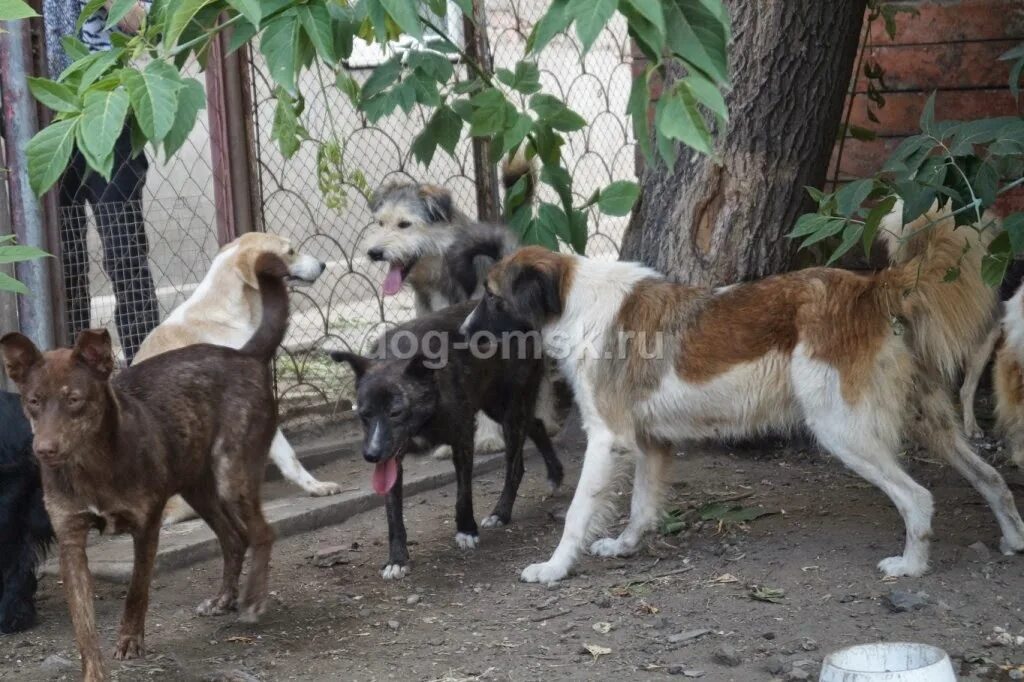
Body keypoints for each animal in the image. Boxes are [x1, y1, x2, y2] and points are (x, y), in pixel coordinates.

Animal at [1, 254, 288, 679]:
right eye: (33, 401)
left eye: (74, 399)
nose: (43, 450)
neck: (92, 466)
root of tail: (245, 355)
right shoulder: (71, 539)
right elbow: (83, 626)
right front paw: (93, 671)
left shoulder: (146, 526)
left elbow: (137, 590)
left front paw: (130, 641)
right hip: (198, 488)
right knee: (235, 538)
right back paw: (223, 599)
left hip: (231, 476)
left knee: (262, 533)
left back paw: (252, 600)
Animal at [331, 301, 565, 577]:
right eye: (364, 414)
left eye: (396, 412)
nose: (371, 455)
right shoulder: (391, 460)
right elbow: (393, 513)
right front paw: (396, 560)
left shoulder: (463, 439)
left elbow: (463, 494)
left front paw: (466, 530)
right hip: (498, 408)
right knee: (537, 424)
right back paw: (555, 473)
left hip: (511, 412)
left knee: (516, 466)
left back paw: (501, 512)